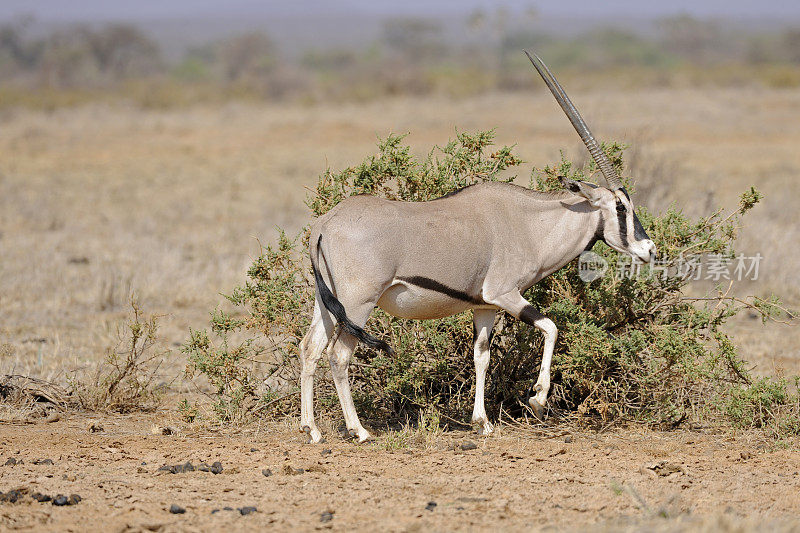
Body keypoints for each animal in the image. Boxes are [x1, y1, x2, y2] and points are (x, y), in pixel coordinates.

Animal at [296, 52, 652, 442]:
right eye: (621, 207)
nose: (648, 249)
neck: (528, 223)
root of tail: (324, 225)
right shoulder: (505, 294)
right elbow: (551, 327)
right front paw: (538, 400)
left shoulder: (484, 306)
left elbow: (482, 355)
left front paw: (482, 421)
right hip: (358, 304)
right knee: (339, 355)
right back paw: (358, 430)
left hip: (328, 303)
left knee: (310, 348)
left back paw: (311, 428)